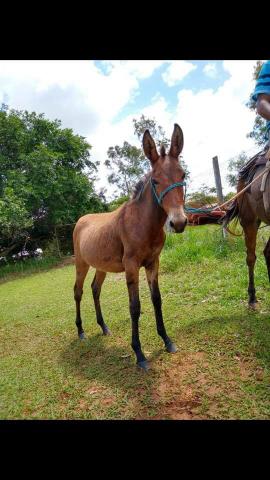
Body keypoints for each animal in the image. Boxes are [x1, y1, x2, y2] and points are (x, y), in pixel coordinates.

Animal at [74, 123, 188, 368]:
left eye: (182, 175)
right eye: (155, 180)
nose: (178, 222)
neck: (142, 223)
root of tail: (81, 220)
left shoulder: (153, 263)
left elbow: (157, 300)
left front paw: (167, 340)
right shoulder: (132, 266)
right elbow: (134, 307)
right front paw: (139, 353)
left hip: (100, 267)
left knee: (95, 290)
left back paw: (103, 327)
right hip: (81, 265)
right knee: (78, 292)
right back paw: (80, 331)